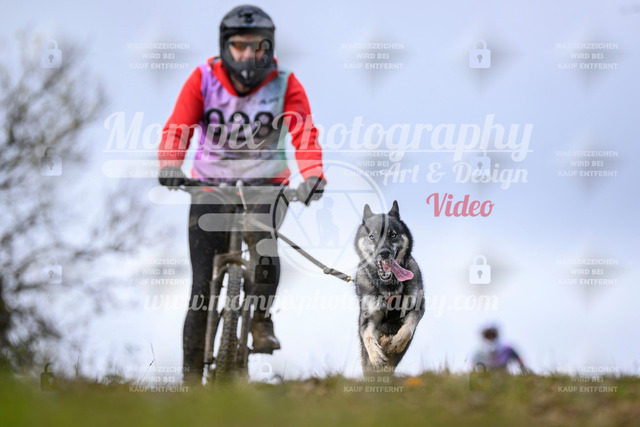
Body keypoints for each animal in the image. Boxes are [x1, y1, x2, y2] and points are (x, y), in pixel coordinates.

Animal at [354, 201, 425, 374]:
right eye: (372, 236)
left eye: (392, 235)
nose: (384, 253)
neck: (389, 286)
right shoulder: (368, 317)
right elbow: (367, 335)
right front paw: (375, 355)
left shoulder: (418, 307)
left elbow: (408, 326)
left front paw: (398, 341)